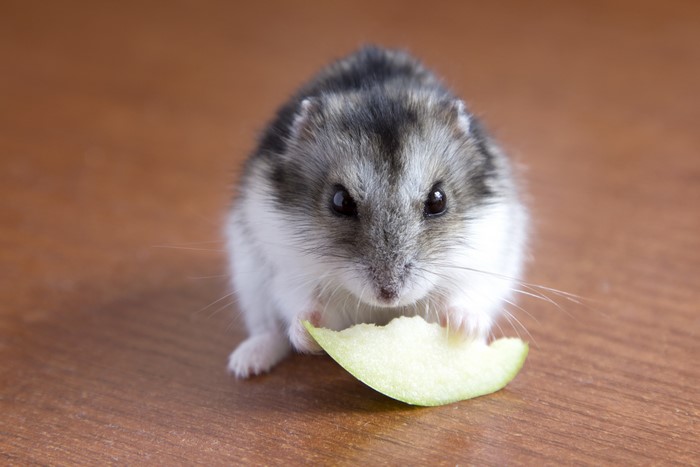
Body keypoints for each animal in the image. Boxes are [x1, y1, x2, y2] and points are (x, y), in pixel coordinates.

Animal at [225, 46, 527, 378]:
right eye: (340, 201)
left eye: (438, 200)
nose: (389, 294)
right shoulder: (286, 267)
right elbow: (299, 303)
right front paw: (309, 327)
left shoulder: (486, 262)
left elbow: (465, 298)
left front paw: (463, 327)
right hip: (250, 279)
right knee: (268, 329)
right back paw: (244, 365)